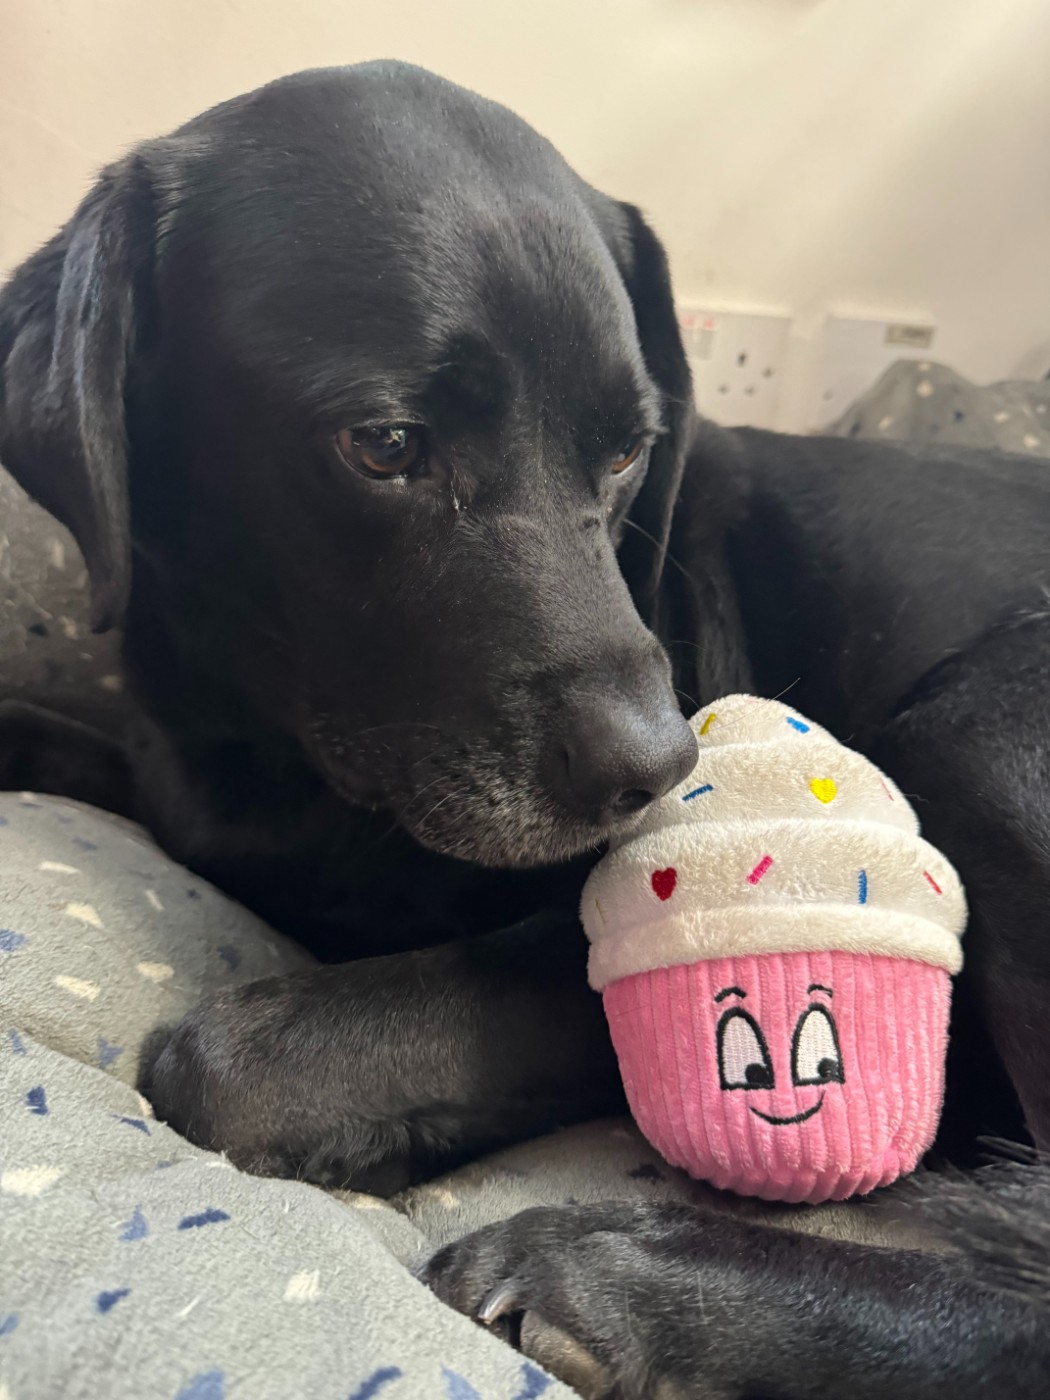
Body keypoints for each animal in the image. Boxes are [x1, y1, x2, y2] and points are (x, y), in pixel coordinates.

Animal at [2, 61, 1049, 1398]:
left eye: (630, 449)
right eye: (384, 443)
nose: (662, 767)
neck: (284, 745)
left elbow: (219, 1060)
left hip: (980, 724)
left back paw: (630, 1281)